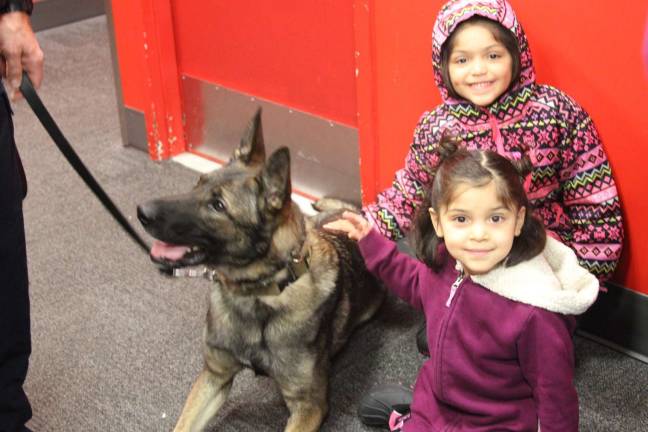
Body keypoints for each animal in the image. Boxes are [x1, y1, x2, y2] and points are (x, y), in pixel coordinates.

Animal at [137, 111, 384, 432]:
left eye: (218, 205)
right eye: (198, 183)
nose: (141, 212)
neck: (257, 293)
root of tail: (357, 213)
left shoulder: (308, 406)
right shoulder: (214, 377)